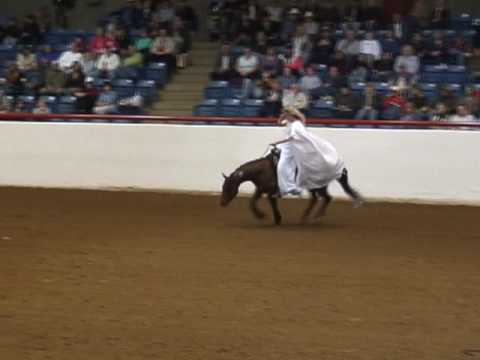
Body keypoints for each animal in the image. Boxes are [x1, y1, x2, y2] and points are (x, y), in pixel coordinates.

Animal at [219, 148, 362, 224]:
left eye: (228, 187)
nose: (222, 203)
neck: (263, 170)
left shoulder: (271, 191)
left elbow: (271, 202)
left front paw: (276, 218)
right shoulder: (261, 189)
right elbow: (252, 202)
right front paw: (261, 215)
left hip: (318, 187)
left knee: (327, 198)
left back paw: (317, 216)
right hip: (313, 187)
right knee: (316, 199)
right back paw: (304, 217)